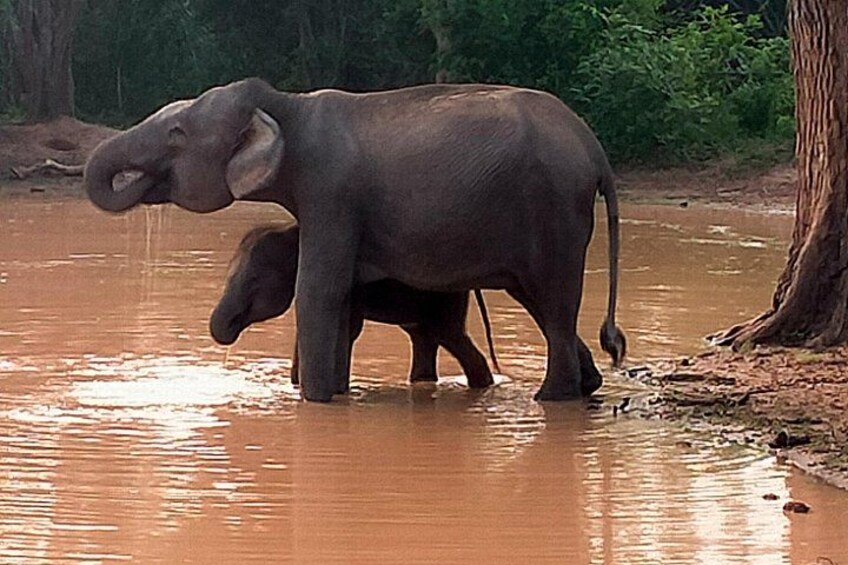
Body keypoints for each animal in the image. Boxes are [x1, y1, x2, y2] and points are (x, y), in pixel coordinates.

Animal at [209, 223, 500, 389]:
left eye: (254, 280)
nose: (226, 330)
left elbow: (349, 330)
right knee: (423, 336)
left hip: (445, 295)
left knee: (447, 334)